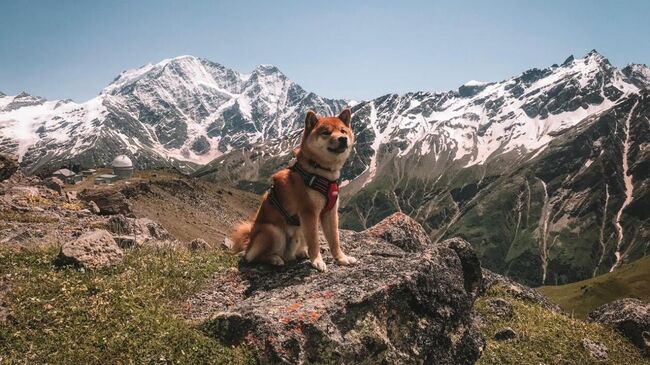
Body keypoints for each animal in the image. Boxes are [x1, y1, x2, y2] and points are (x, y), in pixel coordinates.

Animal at [230, 109, 356, 272]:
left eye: (343, 131)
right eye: (326, 132)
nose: (343, 139)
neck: (320, 172)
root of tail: (249, 241)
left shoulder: (330, 212)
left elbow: (334, 239)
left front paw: (341, 258)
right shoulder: (309, 212)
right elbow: (314, 240)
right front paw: (317, 261)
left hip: (298, 232)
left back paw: (301, 253)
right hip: (273, 231)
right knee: (253, 258)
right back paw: (274, 259)